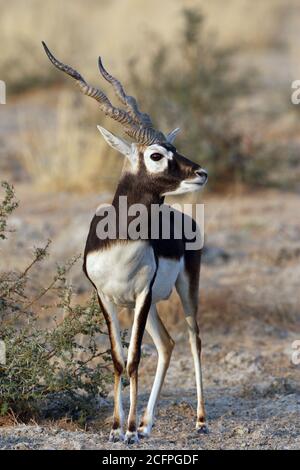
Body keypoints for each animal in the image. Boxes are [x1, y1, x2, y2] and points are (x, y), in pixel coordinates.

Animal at [42, 41, 209, 444]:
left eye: (173, 147)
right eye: (156, 155)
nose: (201, 173)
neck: (119, 245)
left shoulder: (142, 295)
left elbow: (133, 360)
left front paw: (129, 431)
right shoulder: (106, 298)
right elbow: (119, 360)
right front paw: (118, 427)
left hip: (184, 289)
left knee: (193, 339)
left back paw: (198, 421)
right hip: (140, 309)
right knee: (167, 343)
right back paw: (148, 423)